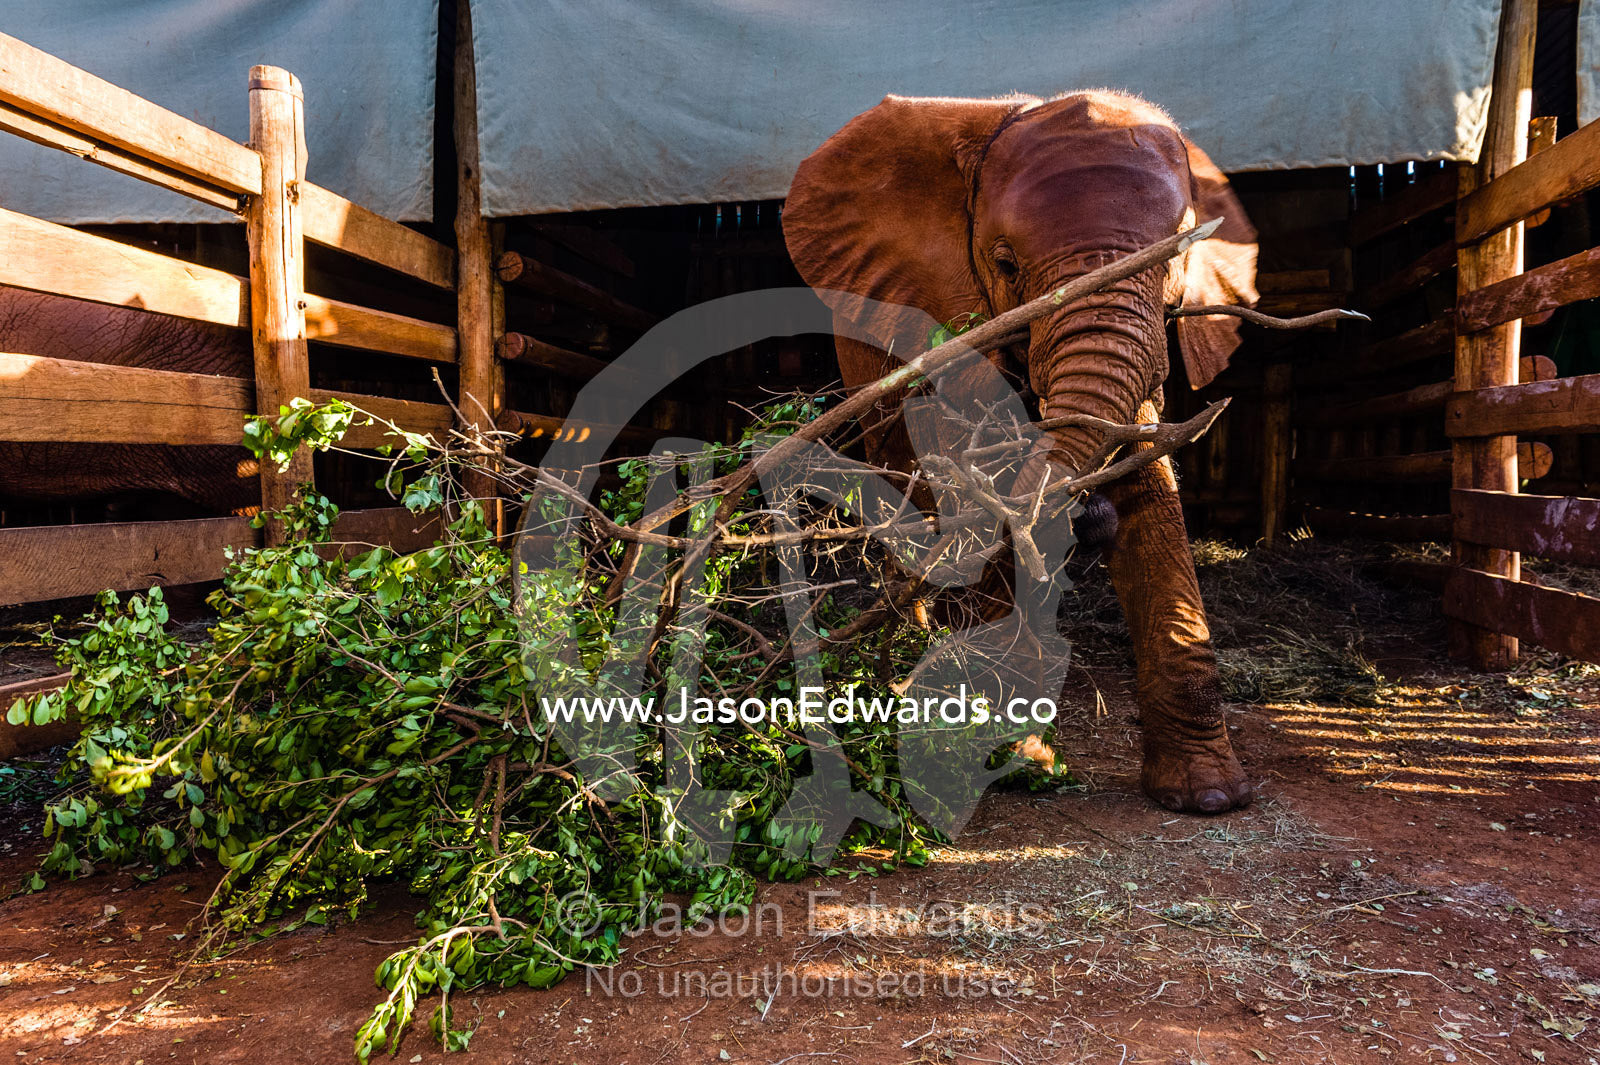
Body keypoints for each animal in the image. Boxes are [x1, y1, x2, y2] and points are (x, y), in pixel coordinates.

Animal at [782, 91, 1257, 814]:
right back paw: (919, 646)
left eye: (1177, 260)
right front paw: (1016, 755)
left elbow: (1150, 491)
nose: (1089, 521)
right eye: (1005, 264)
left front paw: (1207, 797)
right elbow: (980, 485)